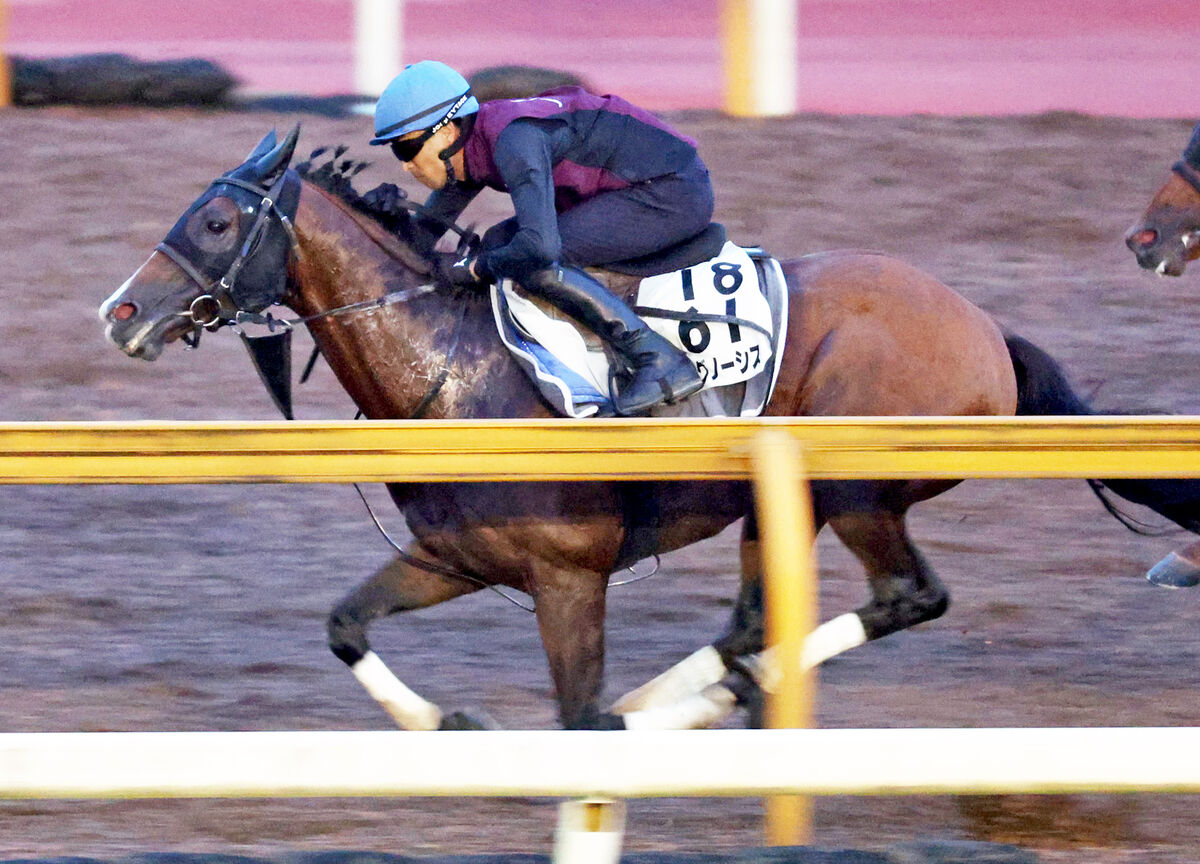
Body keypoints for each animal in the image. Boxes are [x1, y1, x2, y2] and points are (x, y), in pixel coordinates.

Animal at [100, 123, 1200, 729]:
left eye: (213, 222)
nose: (120, 311)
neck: (452, 367)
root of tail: (984, 330)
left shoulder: (567, 574)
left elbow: (576, 713)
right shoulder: (458, 557)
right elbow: (345, 626)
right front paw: (447, 724)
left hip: (852, 486)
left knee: (905, 597)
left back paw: (687, 706)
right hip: (781, 504)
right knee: (756, 624)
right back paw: (700, 699)